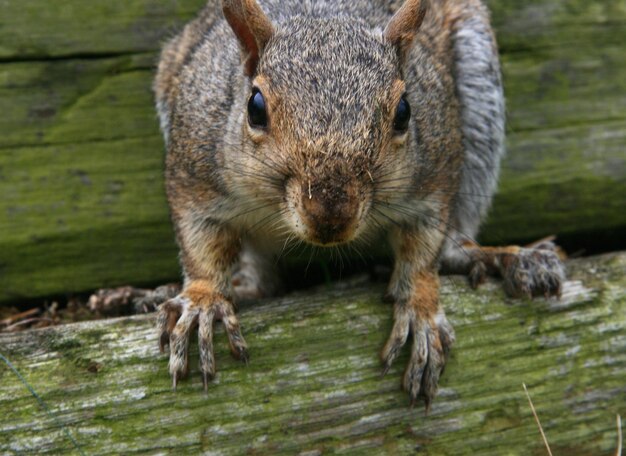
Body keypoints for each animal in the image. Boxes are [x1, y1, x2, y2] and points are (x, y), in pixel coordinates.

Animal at [154, 0, 564, 406]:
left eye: (404, 111)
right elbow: (202, 244)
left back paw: (498, 256)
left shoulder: (434, 177)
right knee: (264, 277)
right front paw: (203, 300)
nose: (330, 216)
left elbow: (423, 249)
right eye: (255, 107)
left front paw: (420, 308)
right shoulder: (195, 170)